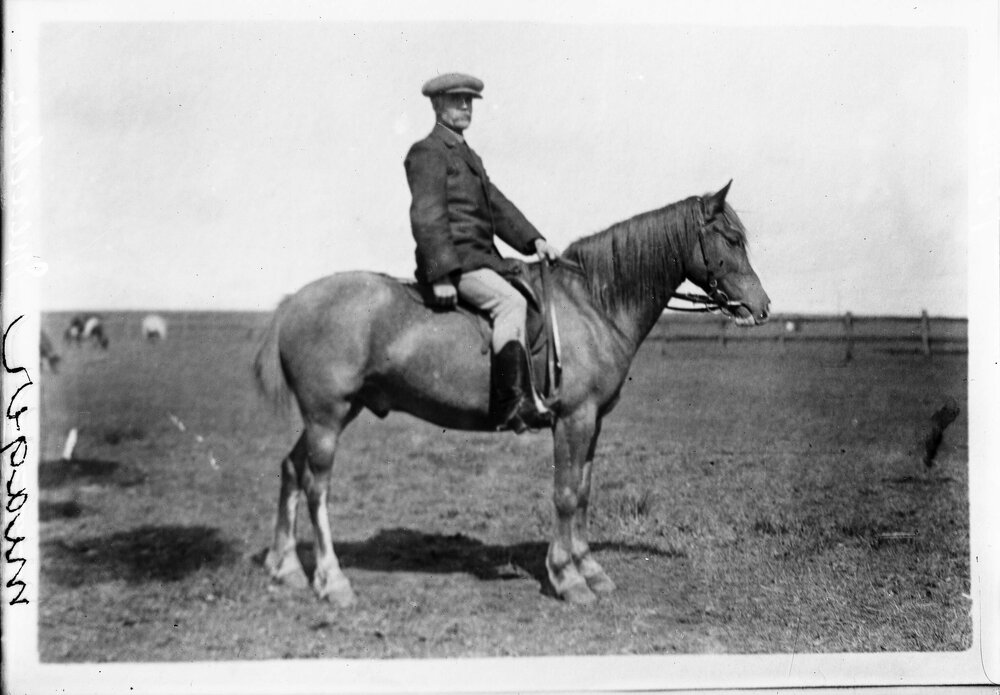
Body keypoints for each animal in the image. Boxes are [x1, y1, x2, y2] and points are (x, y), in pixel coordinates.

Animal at [253, 181, 770, 606]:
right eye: (731, 239)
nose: (762, 307)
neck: (592, 304)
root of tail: (293, 302)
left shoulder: (593, 421)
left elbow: (584, 491)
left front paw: (590, 569)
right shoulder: (573, 418)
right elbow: (566, 494)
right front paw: (567, 577)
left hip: (332, 414)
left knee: (291, 470)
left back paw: (286, 569)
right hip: (327, 416)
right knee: (317, 486)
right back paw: (332, 581)